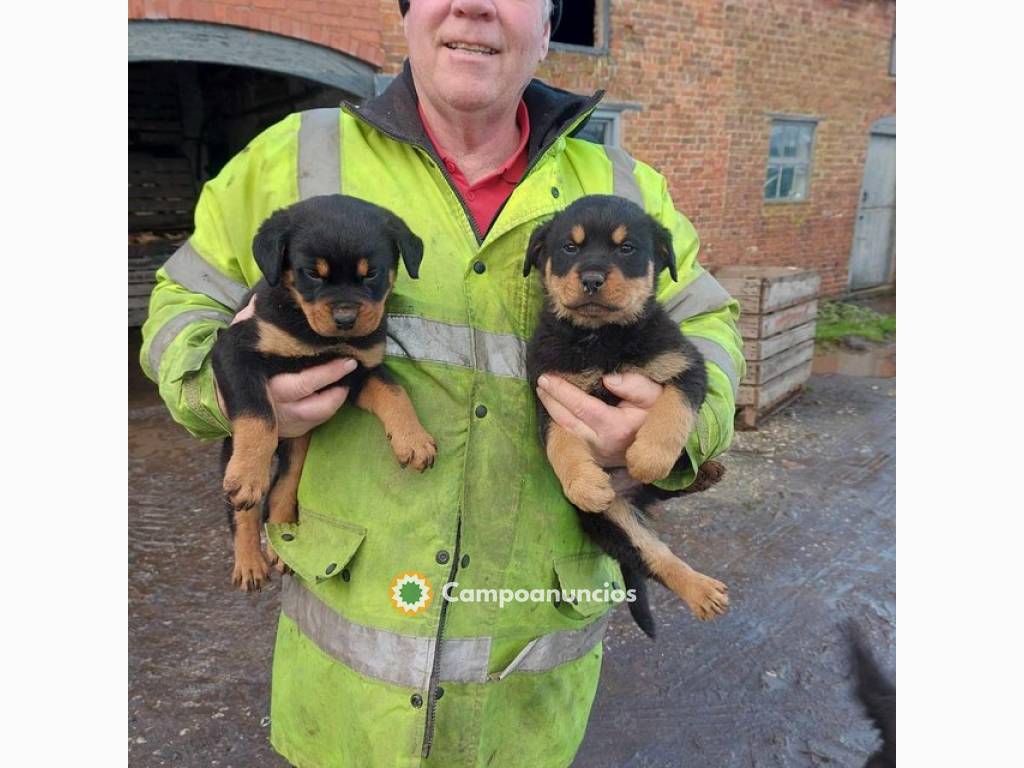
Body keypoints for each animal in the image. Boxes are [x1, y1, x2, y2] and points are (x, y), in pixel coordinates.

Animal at [211, 195, 436, 593]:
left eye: (371, 273)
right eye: (312, 274)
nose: (346, 319)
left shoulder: (359, 370)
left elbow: (395, 391)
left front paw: (413, 439)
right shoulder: (234, 350)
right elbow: (258, 414)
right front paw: (250, 474)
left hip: (299, 445)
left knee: (283, 487)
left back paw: (284, 545)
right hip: (231, 448)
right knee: (244, 511)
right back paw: (250, 561)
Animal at [528, 193, 729, 638]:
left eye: (627, 248)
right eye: (570, 247)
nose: (591, 278)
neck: (602, 338)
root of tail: (636, 498)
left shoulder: (685, 365)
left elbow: (671, 410)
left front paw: (647, 457)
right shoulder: (548, 392)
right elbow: (560, 445)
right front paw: (585, 485)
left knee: (673, 484)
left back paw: (703, 473)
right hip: (614, 522)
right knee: (654, 556)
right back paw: (701, 590)